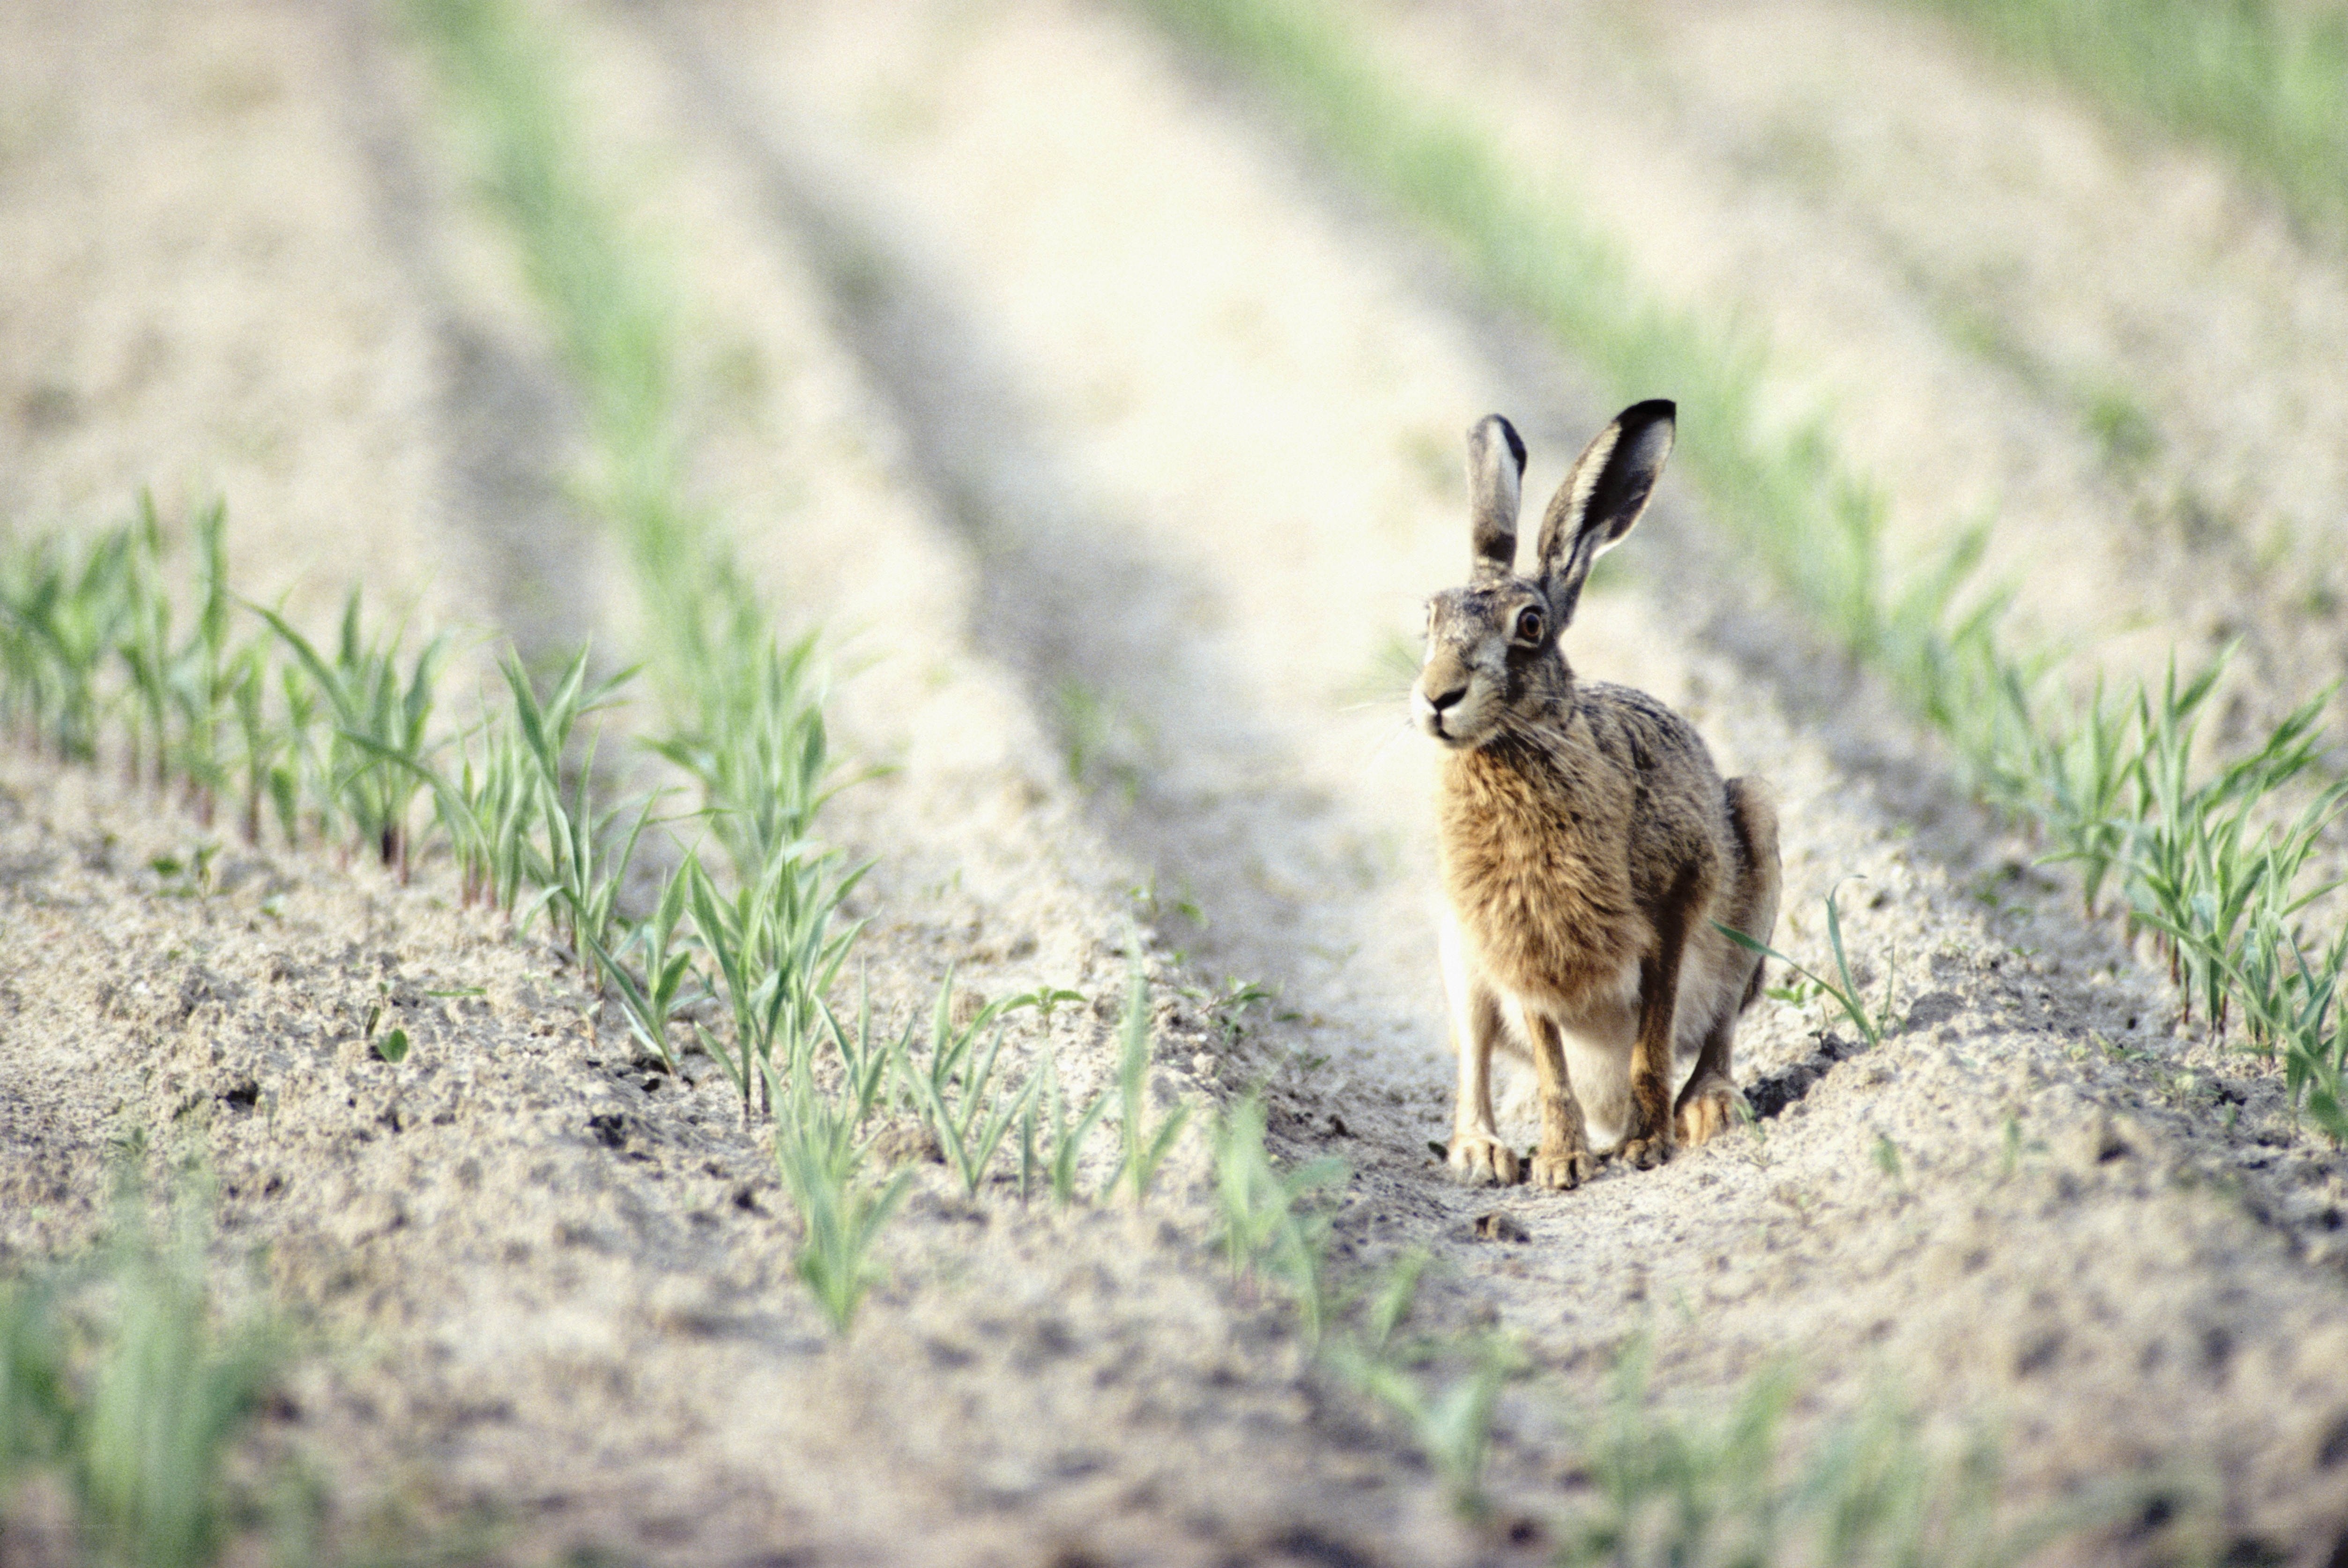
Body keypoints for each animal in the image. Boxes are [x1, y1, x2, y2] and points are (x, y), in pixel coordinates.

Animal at [1412, 400, 1780, 1189]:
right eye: (1427, 619)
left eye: (1530, 625)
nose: (1437, 697)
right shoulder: (1520, 949)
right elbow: (1550, 1067)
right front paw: (1562, 1165)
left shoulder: (1673, 906)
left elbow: (1653, 1038)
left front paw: (1645, 1147)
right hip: (1459, 946)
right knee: (1475, 1060)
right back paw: (1484, 1154)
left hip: (1757, 845)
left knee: (1718, 1029)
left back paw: (1706, 1112)